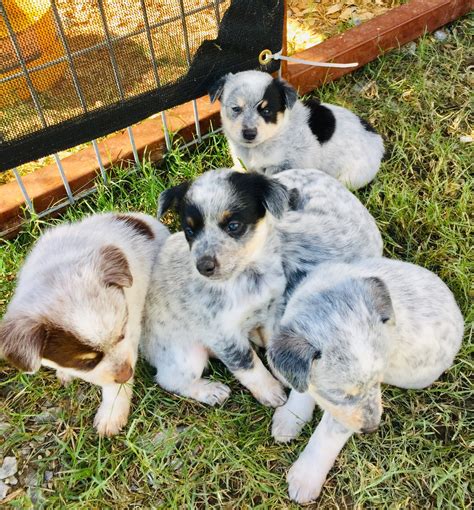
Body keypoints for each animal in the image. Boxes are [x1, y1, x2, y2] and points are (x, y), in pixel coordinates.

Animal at [0, 213, 169, 436]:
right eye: (87, 363)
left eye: (122, 334)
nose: (127, 374)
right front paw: (65, 373)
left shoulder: (131, 328)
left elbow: (114, 384)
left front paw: (111, 414)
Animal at [141, 169, 382, 408]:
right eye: (189, 231)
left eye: (233, 226)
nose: (204, 266)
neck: (247, 278)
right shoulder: (222, 333)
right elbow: (248, 365)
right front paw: (271, 391)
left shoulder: (271, 309)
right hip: (187, 357)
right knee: (170, 379)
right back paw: (210, 391)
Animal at [210, 67, 386, 187]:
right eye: (236, 109)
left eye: (267, 111)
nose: (249, 134)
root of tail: (377, 140)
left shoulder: (289, 163)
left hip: (353, 176)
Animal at [268, 256, 464, 504]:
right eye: (342, 394)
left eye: (377, 382)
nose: (371, 429)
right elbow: (302, 389)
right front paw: (289, 419)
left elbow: (325, 437)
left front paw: (305, 478)